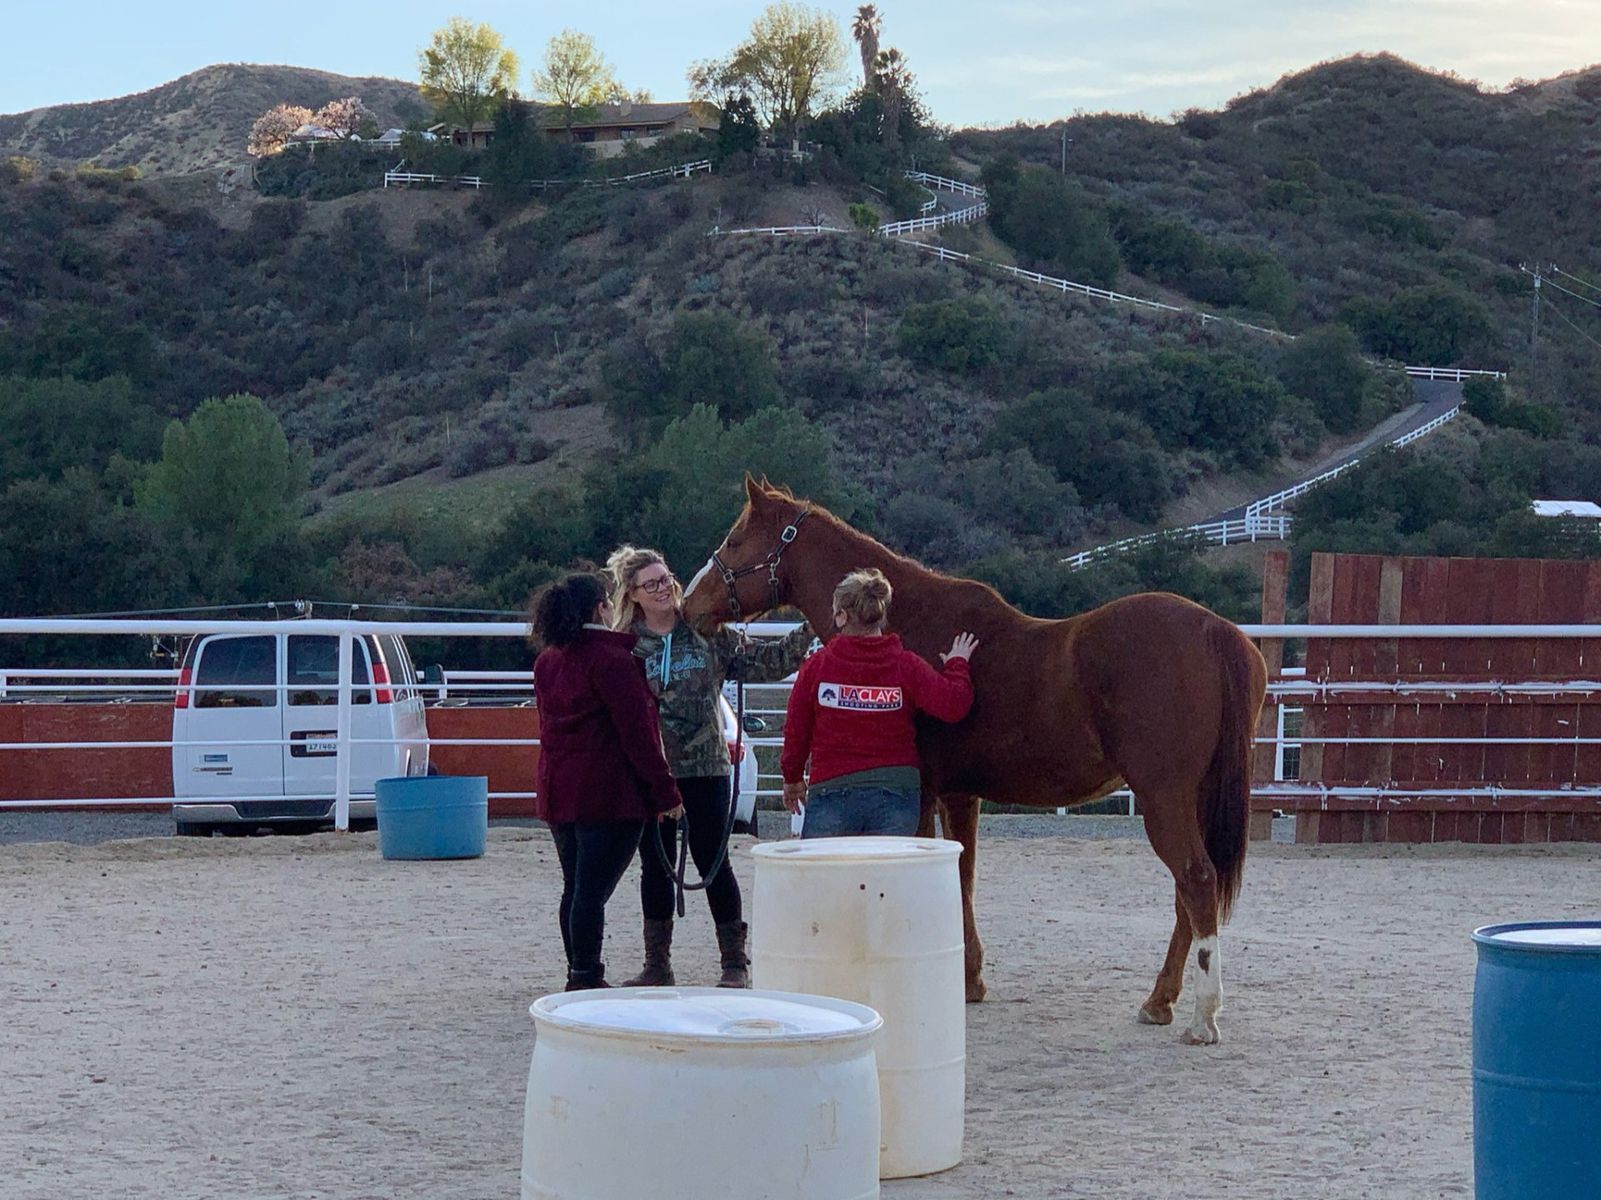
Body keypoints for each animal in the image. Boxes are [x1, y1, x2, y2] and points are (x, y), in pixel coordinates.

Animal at [681, 477, 1268, 1045]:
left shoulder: (922, 793)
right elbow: (962, 876)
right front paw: (969, 980)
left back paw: (1202, 1017)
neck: (912, 626)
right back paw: (1159, 1002)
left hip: (1162, 795)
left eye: (735, 540)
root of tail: (1214, 630)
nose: (689, 605)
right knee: (1189, 893)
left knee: (1196, 880)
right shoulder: (961, 794)